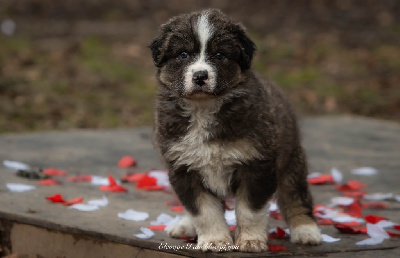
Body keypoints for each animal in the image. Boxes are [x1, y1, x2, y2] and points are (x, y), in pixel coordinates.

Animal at [149, 8, 322, 252]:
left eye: (219, 55)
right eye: (183, 54)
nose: (200, 76)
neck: (203, 109)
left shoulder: (257, 164)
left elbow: (250, 210)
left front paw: (250, 241)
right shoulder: (184, 168)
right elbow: (203, 211)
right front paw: (215, 241)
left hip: (290, 160)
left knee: (295, 195)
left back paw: (306, 230)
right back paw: (186, 225)